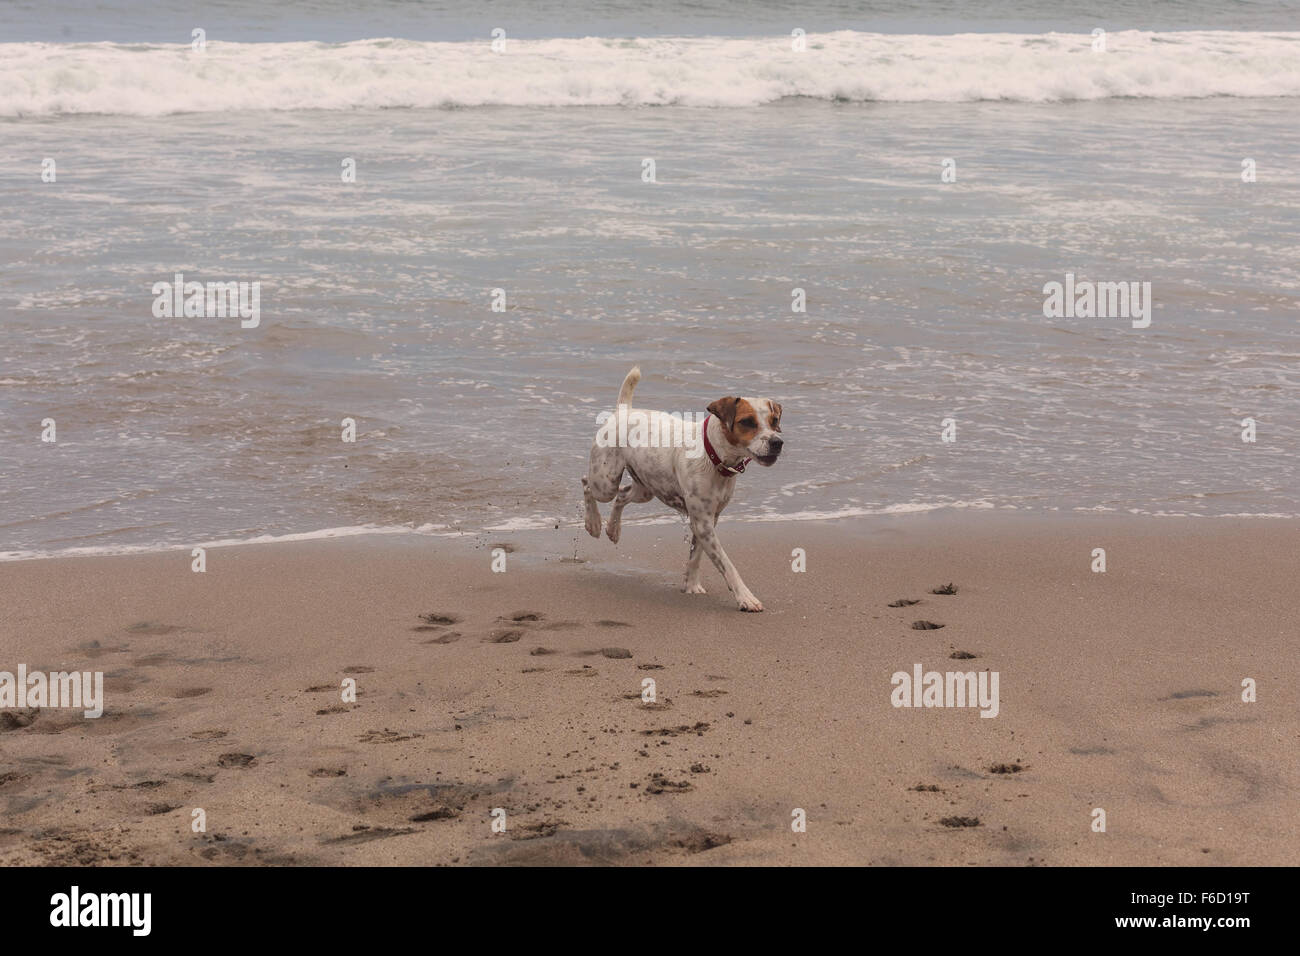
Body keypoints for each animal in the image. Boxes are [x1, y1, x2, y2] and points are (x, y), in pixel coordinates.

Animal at [585, 366, 785, 613]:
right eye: (747, 422)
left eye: (774, 420)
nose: (777, 443)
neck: (714, 455)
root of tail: (624, 411)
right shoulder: (703, 522)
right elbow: (727, 564)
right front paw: (745, 597)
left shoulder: (708, 520)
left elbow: (695, 556)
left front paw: (691, 585)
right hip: (605, 481)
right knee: (587, 484)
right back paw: (593, 523)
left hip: (645, 490)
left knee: (622, 496)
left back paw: (613, 529)